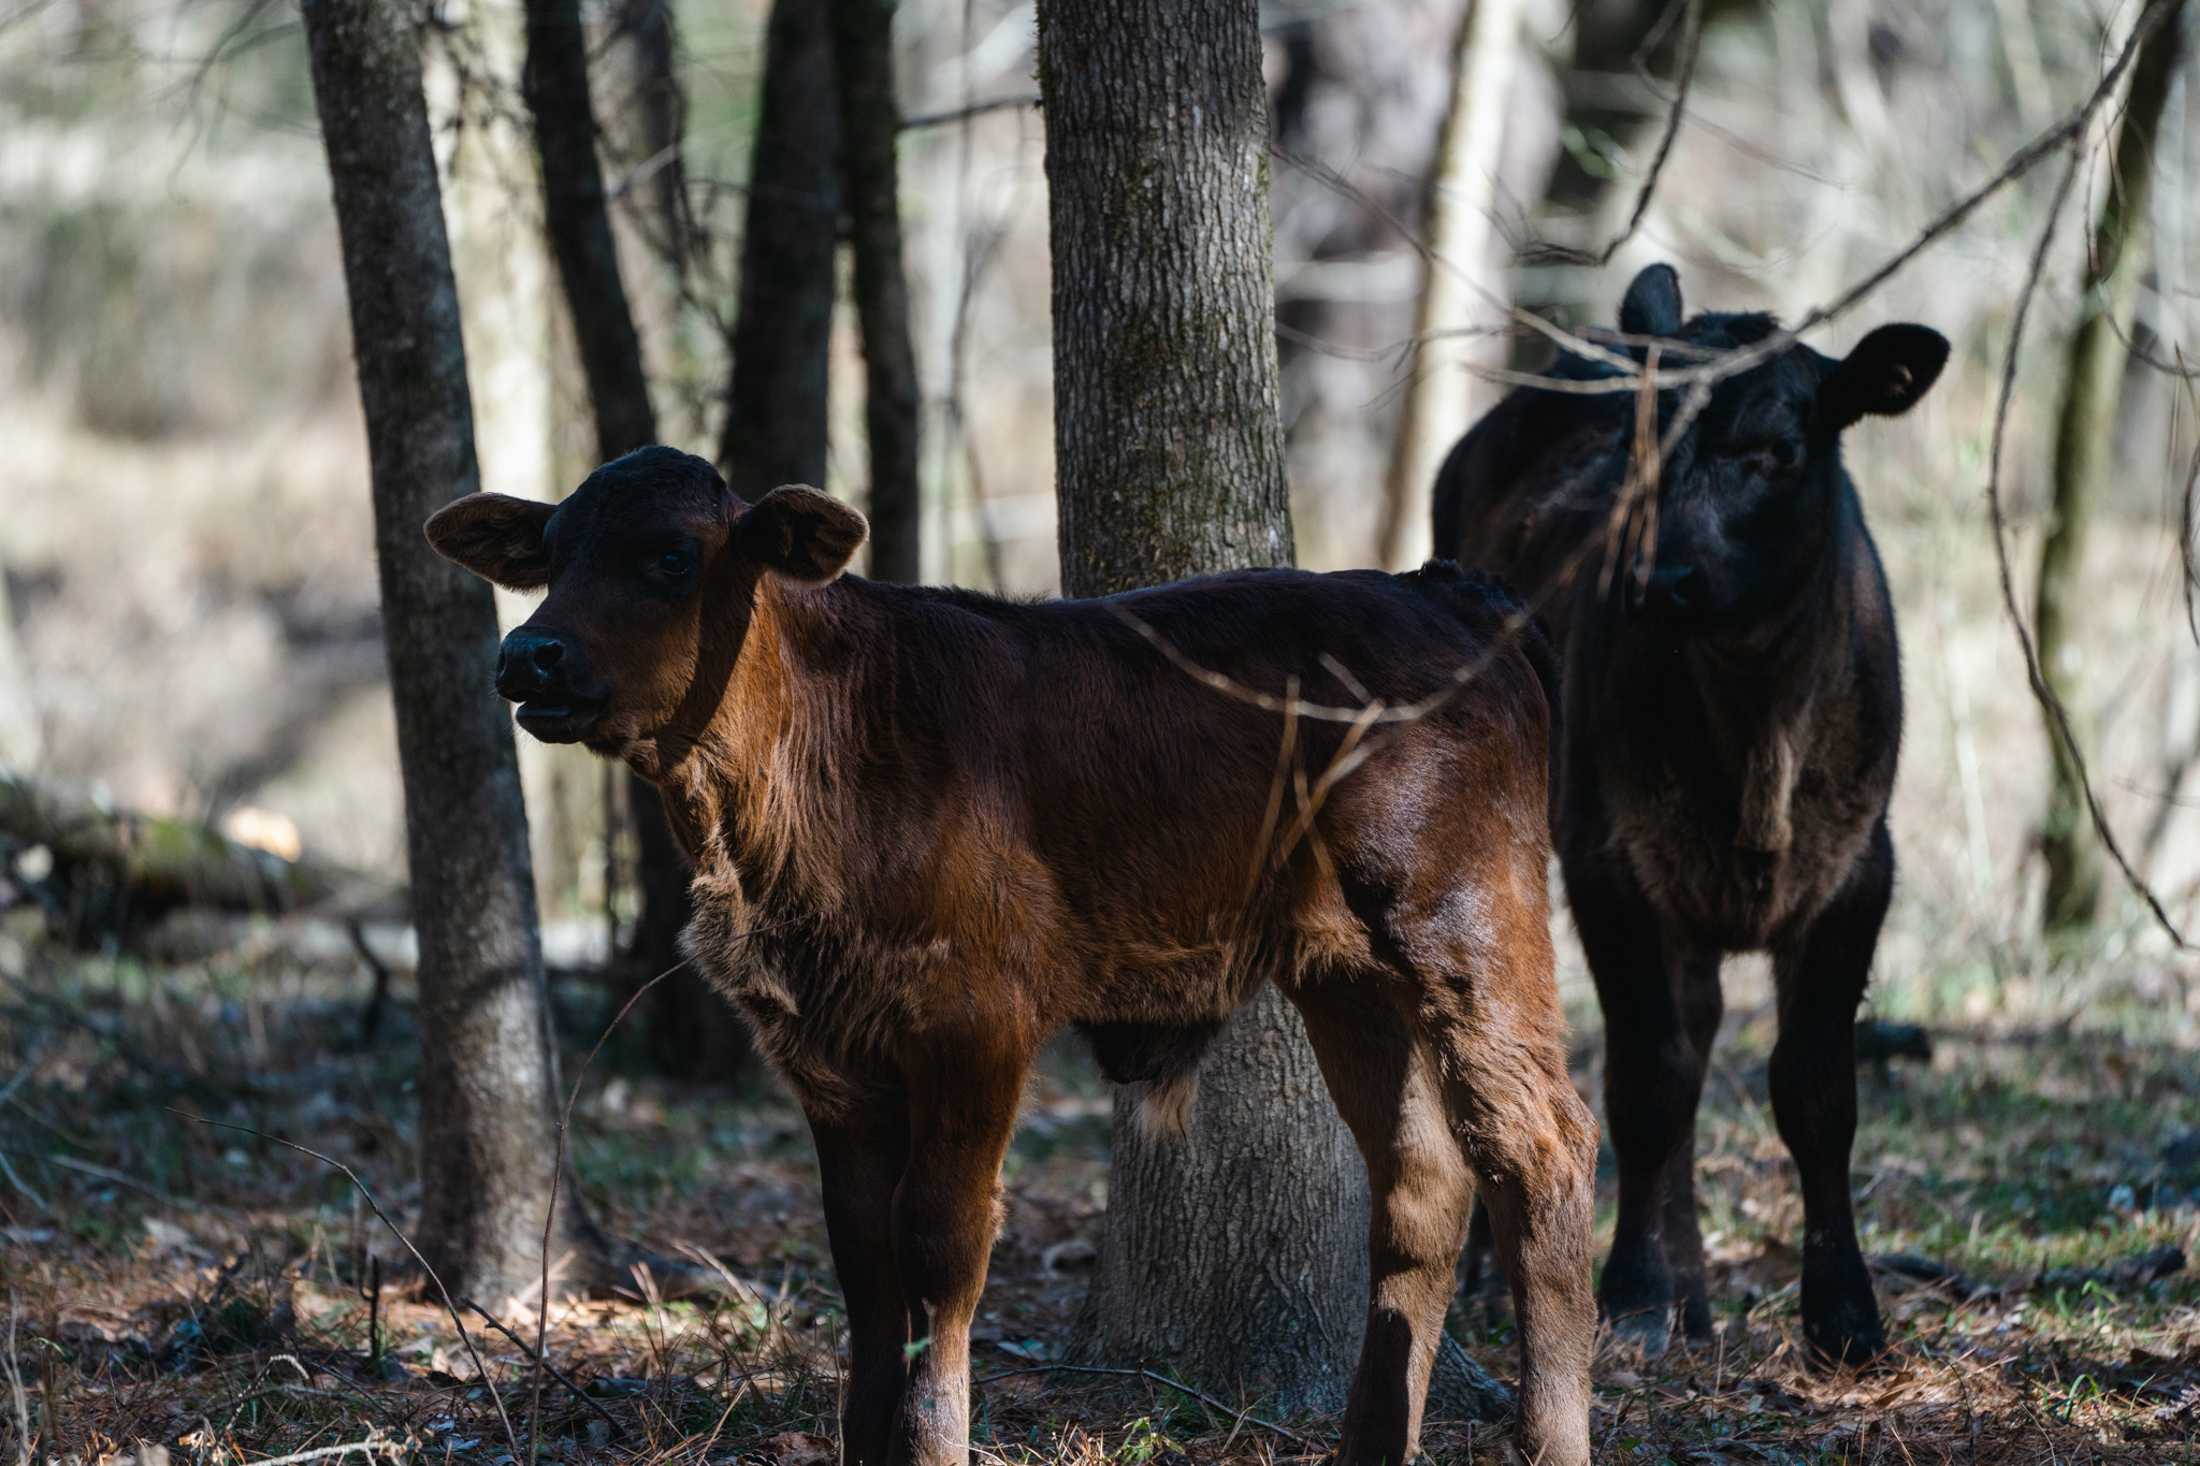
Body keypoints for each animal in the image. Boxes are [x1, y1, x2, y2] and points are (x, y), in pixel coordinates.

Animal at [424, 442, 1601, 1461]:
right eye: (551, 552)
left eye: (670, 554)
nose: (528, 654)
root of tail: (1444, 591)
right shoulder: (826, 1051)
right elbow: (864, 1254)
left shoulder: (973, 1021)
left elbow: (941, 1242)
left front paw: (935, 1439)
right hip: (1346, 976)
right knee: (1420, 1184)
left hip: (1465, 929)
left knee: (1541, 1149)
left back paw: (1553, 1434)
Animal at [1434, 259, 1953, 1355]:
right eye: (1641, 443)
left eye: (1775, 452)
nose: (1656, 576)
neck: (1757, 741)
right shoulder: (1609, 860)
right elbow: (1648, 1081)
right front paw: (1632, 1292)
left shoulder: (1860, 868)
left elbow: (1814, 1085)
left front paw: (1843, 1309)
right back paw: (1500, 1273)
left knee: (1704, 1023)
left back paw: (1698, 1291)